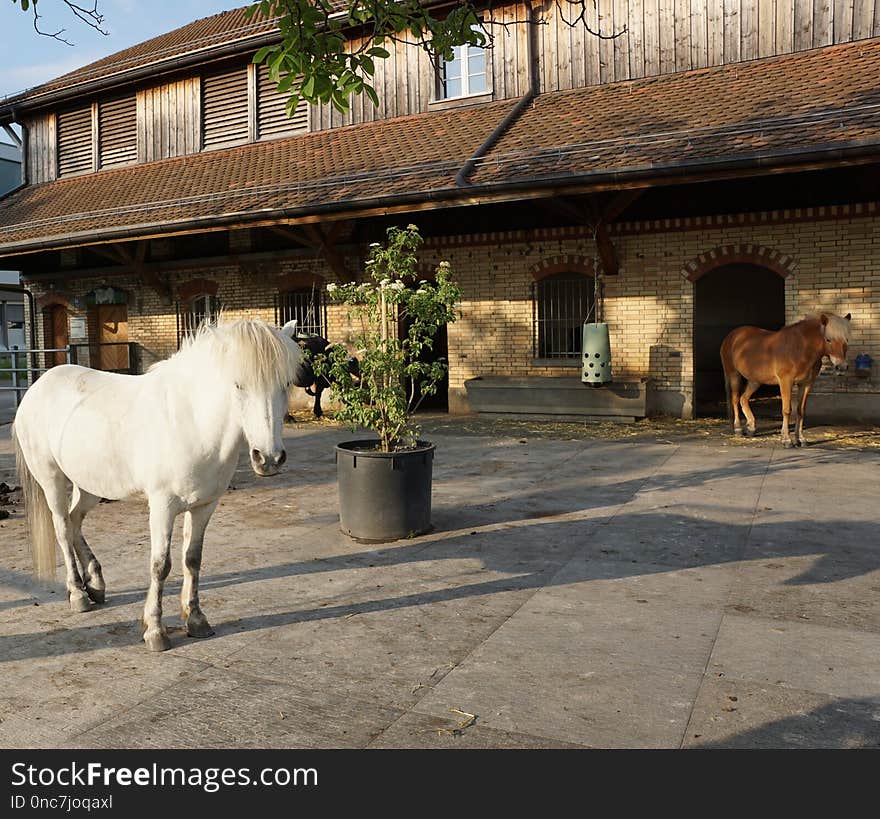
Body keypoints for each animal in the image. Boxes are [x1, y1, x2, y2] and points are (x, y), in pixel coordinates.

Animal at [12, 320, 310, 652]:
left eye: (285, 383)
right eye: (238, 385)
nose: (269, 459)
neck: (192, 423)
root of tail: (38, 386)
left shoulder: (204, 506)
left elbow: (192, 560)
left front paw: (196, 620)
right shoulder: (162, 507)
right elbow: (160, 565)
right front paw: (155, 631)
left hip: (90, 485)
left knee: (75, 520)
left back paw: (96, 585)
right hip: (52, 480)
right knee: (63, 528)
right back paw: (78, 594)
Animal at [720, 312, 848, 448]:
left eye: (846, 340)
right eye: (828, 339)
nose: (842, 366)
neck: (800, 348)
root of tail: (732, 336)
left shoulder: (806, 384)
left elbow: (800, 411)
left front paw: (801, 439)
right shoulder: (786, 382)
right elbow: (786, 410)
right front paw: (786, 440)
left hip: (755, 380)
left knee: (743, 399)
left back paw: (751, 428)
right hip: (734, 375)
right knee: (735, 399)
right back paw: (738, 429)